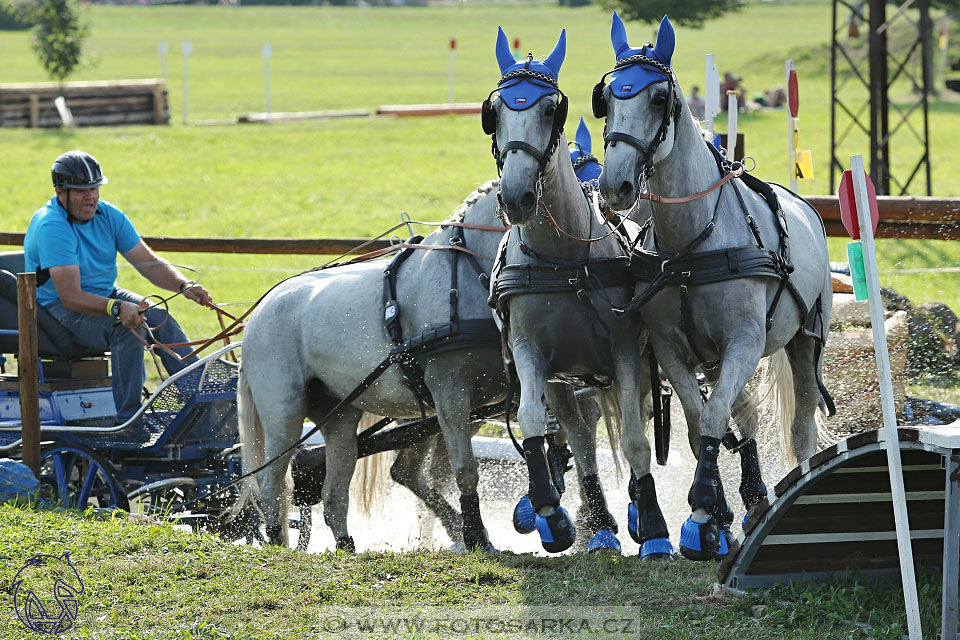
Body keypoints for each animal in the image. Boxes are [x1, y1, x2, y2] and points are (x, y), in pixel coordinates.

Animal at [596, 11, 828, 560]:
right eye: (608, 97)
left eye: (658, 98)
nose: (615, 185)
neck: (692, 246)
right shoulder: (671, 350)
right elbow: (699, 418)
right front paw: (711, 514)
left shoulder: (743, 342)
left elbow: (714, 415)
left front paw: (703, 506)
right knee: (743, 419)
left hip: (804, 344)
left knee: (799, 426)